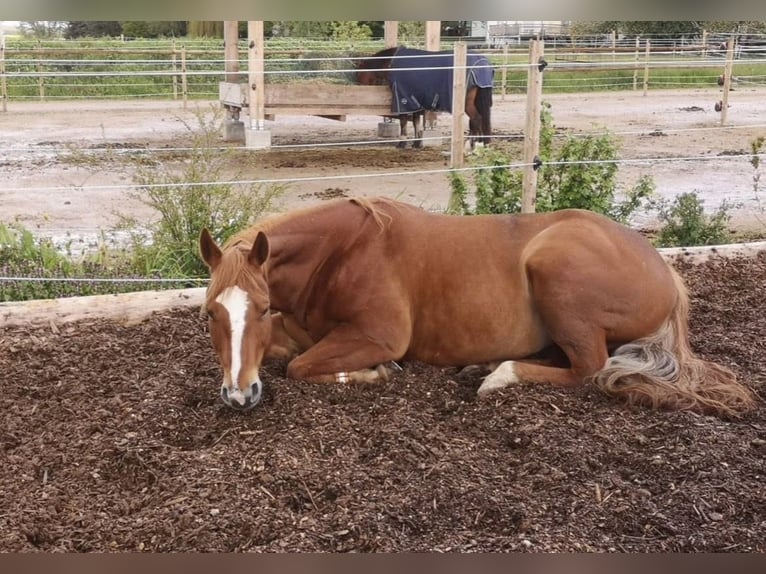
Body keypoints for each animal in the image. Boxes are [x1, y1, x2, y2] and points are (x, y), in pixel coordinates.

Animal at [199, 197, 755, 418]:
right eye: (210, 313)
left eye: (262, 306)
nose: (238, 396)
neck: (341, 251)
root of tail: (665, 271)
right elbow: (284, 354)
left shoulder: (377, 336)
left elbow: (300, 366)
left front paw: (373, 374)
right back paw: (483, 365)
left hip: (556, 271)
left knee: (589, 369)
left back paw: (498, 376)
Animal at [356, 46, 493, 149]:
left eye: (359, 74)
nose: (360, 87)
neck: (392, 63)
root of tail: (482, 63)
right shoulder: (415, 101)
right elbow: (416, 122)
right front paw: (416, 143)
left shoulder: (403, 100)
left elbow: (404, 121)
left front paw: (402, 143)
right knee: (478, 120)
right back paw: (481, 144)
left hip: (466, 102)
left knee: (476, 119)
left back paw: (471, 145)